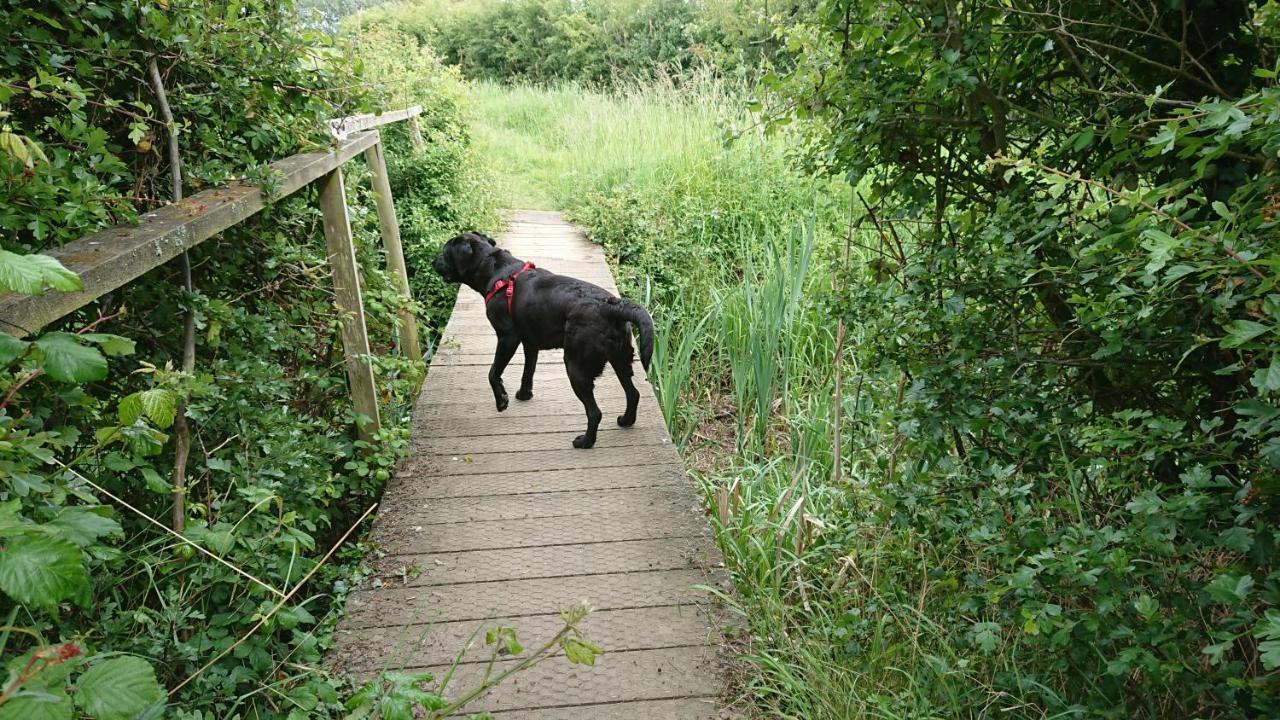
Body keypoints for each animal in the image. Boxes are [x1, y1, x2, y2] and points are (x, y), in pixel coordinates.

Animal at [432, 233, 655, 445]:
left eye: (444, 252)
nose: (433, 261)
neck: (495, 271)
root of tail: (611, 305)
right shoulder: (530, 343)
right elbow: (528, 371)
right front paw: (524, 394)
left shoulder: (507, 337)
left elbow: (493, 372)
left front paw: (502, 400)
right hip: (620, 360)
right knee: (633, 394)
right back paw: (626, 421)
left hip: (576, 366)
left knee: (595, 412)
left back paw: (585, 442)